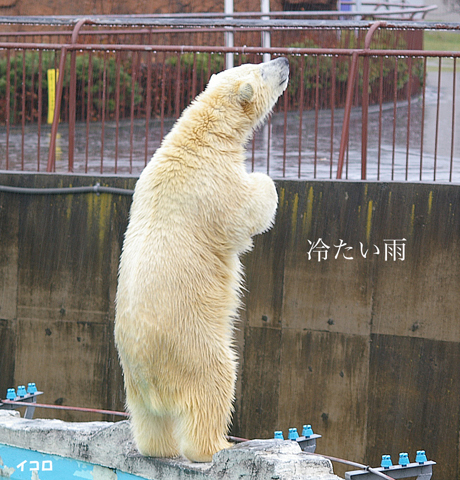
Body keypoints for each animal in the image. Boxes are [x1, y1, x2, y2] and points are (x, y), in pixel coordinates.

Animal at [114, 56, 288, 462]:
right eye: (262, 70)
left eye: (257, 60)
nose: (285, 60)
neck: (202, 134)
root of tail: (155, 384)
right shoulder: (214, 183)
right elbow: (246, 210)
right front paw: (267, 181)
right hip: (194, 346)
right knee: (215, 385)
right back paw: (217, 445)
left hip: (135, 386)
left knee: (149, 422)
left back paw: (157, 448)